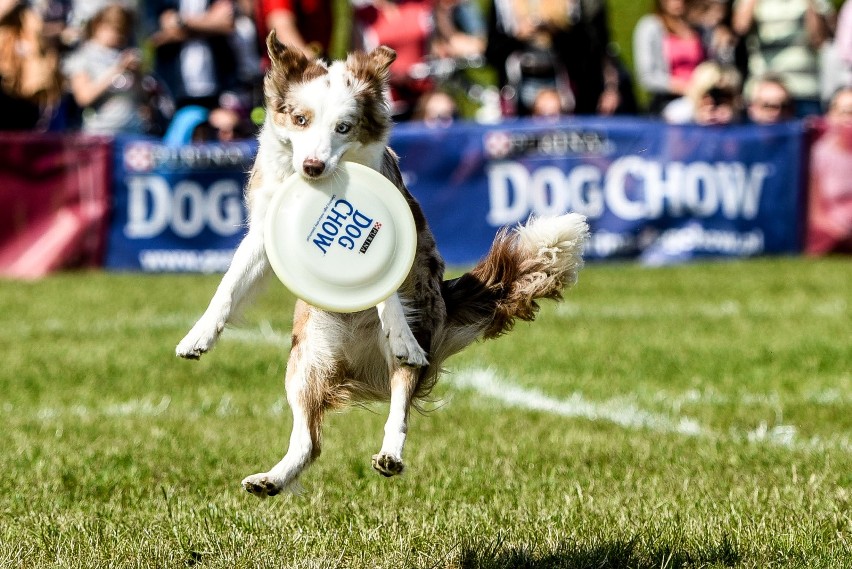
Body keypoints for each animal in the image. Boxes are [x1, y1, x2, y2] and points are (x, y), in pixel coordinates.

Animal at [176, 33, 588, 496]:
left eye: (344, 126)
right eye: (300, 119)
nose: (313, 167)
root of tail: (359, 365)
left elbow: (387, 288)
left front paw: (397, 327)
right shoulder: (265, 231)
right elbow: (229, 285)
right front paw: (198, 337)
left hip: (413, 339)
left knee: (399, 404)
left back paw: (390, 451)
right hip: (305, 361)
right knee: (308, 441)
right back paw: (271, 479)